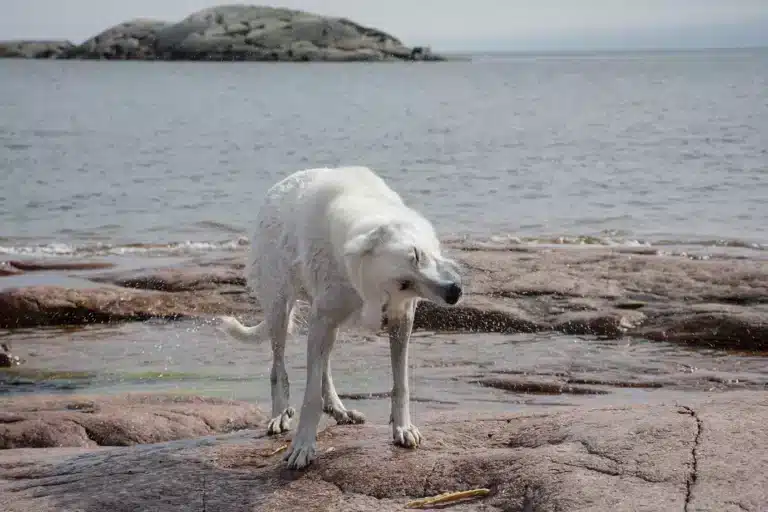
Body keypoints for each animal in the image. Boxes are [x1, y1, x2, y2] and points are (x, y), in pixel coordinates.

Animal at [219, 166, 464, 470]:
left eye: (418, 255)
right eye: (404, 283)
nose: (454, 292)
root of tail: (277, 187)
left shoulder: (401, 318)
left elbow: (401, 383)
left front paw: (403, 428)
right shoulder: (322, 320)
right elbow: (310, 396)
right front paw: (303, 446)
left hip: (325, 325)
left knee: (323, 367)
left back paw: (339, 410)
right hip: (280, 309)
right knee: (279, 367)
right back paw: (279, 415)